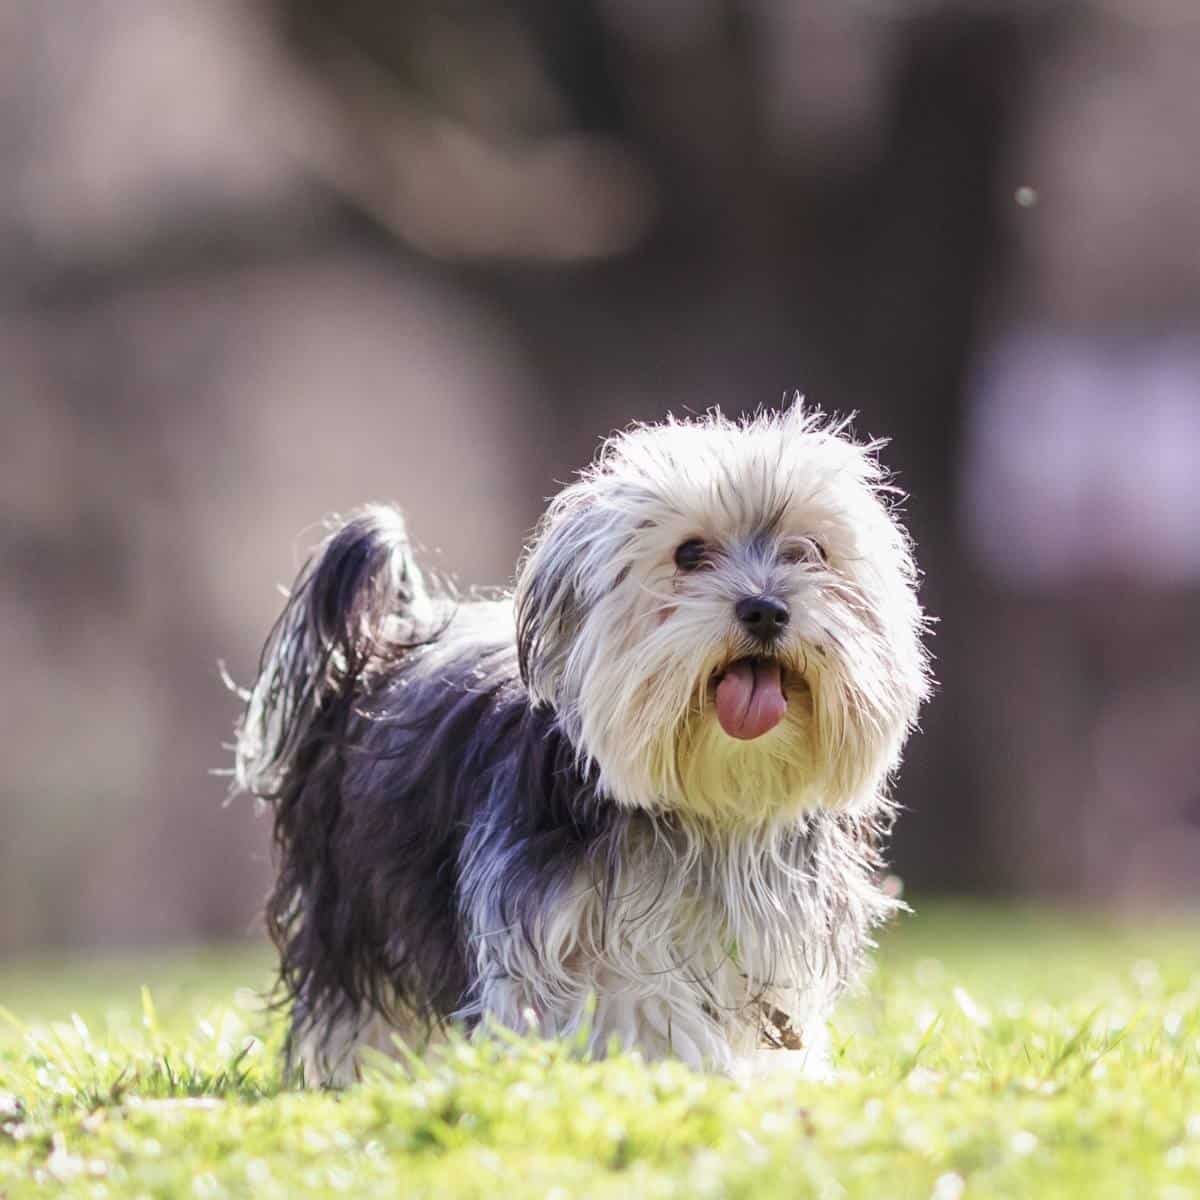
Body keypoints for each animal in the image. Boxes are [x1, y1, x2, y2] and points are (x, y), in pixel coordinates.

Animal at [231, 405, 926, 1089]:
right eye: (689, 553)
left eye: (812, 552)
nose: (765, 610)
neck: (712, 815)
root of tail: (385, 646)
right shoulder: (559, 934)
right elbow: (635, 1003)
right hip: (354, 903)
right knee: (357, 1001)